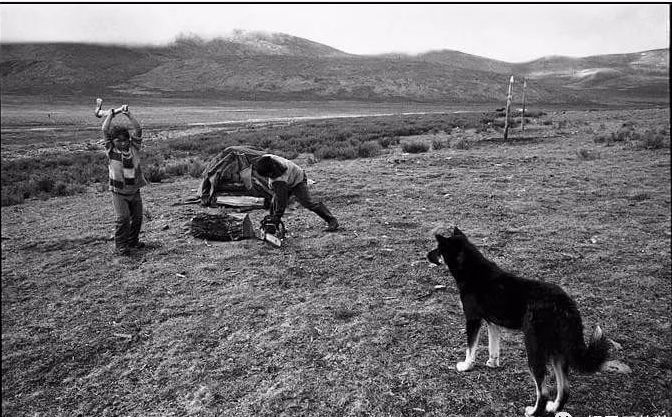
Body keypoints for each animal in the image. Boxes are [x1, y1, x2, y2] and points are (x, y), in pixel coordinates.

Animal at [428, 226, 612, 414]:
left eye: (438, 248)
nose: (427, 255)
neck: (471, 269)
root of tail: (565, 303)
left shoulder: (473, 319)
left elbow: (470, 349)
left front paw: (466, 366)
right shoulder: (492, 323)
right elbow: (493, 347)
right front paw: (492, 363)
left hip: (534, 348)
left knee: (543, 391)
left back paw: (533, 412)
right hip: (556, 350)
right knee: (565, 388)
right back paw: (554, 408)